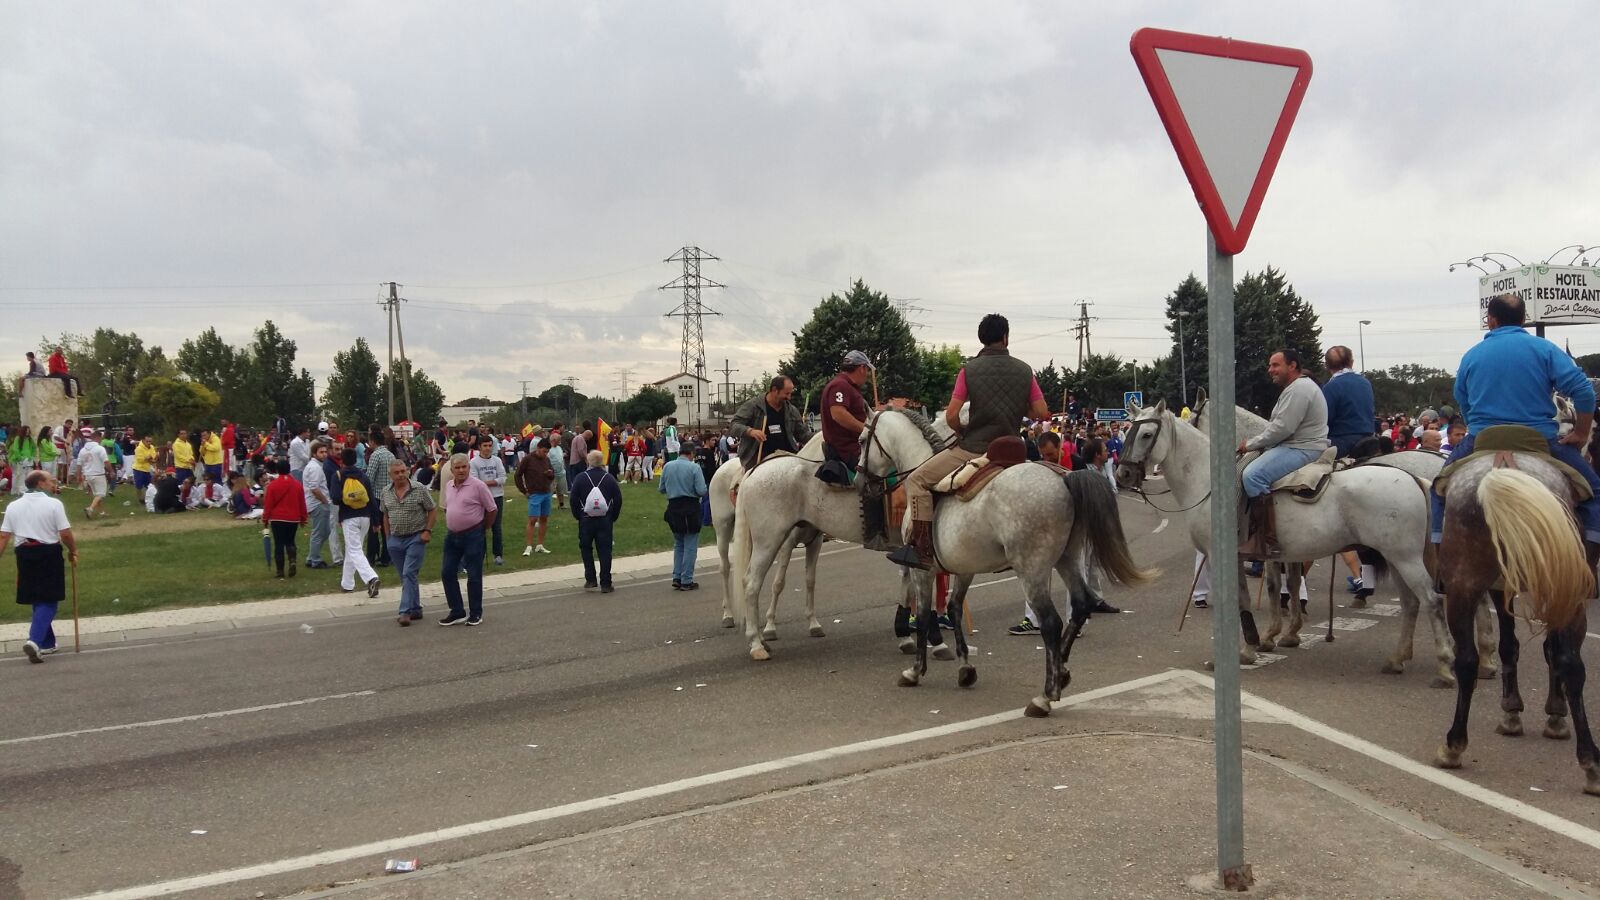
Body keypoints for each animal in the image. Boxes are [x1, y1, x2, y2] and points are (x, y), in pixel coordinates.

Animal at [1113, 398, 1465, 679]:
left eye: (1147, 435)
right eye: (1127, 433)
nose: (1123, 475)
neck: (1210, 481)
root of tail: (1413, 478)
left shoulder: (1229, 556)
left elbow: (1250, 598)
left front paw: (1250, 648)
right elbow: (1281, 587)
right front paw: (1273, 638)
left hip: (1405, 558)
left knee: (1431, 601)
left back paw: (1446, 665)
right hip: (1395, 558)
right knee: (1410, 604)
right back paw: (1397, 659)